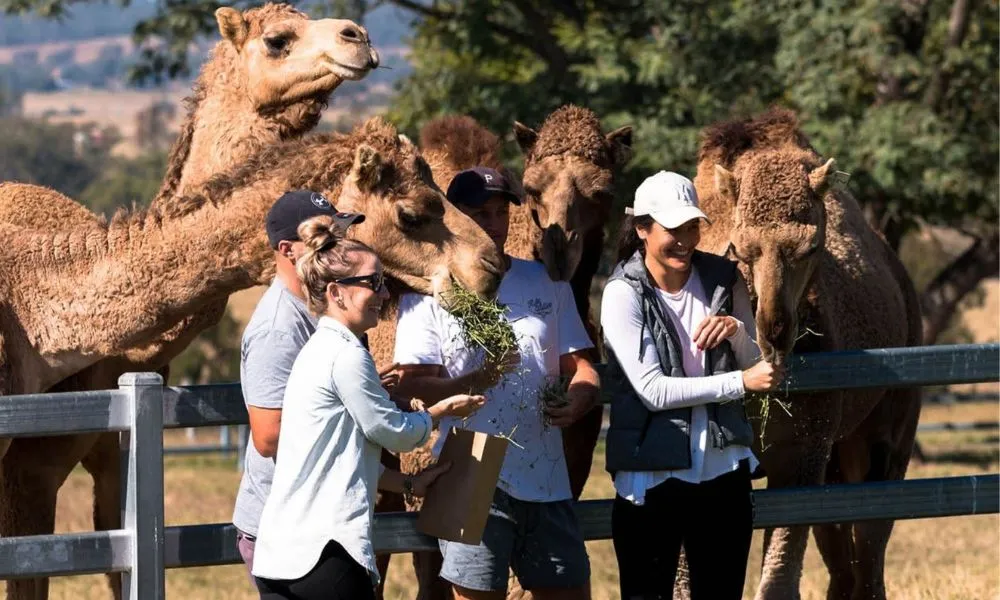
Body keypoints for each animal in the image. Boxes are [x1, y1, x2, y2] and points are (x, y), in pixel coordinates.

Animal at [692, 108, 922, 600]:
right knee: (845, 563)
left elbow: (778, 581)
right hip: (836, 459)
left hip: (888, 434)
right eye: (740, 248)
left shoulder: (801, 455)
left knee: (869, 550)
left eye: (811, 247)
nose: (775, 331)